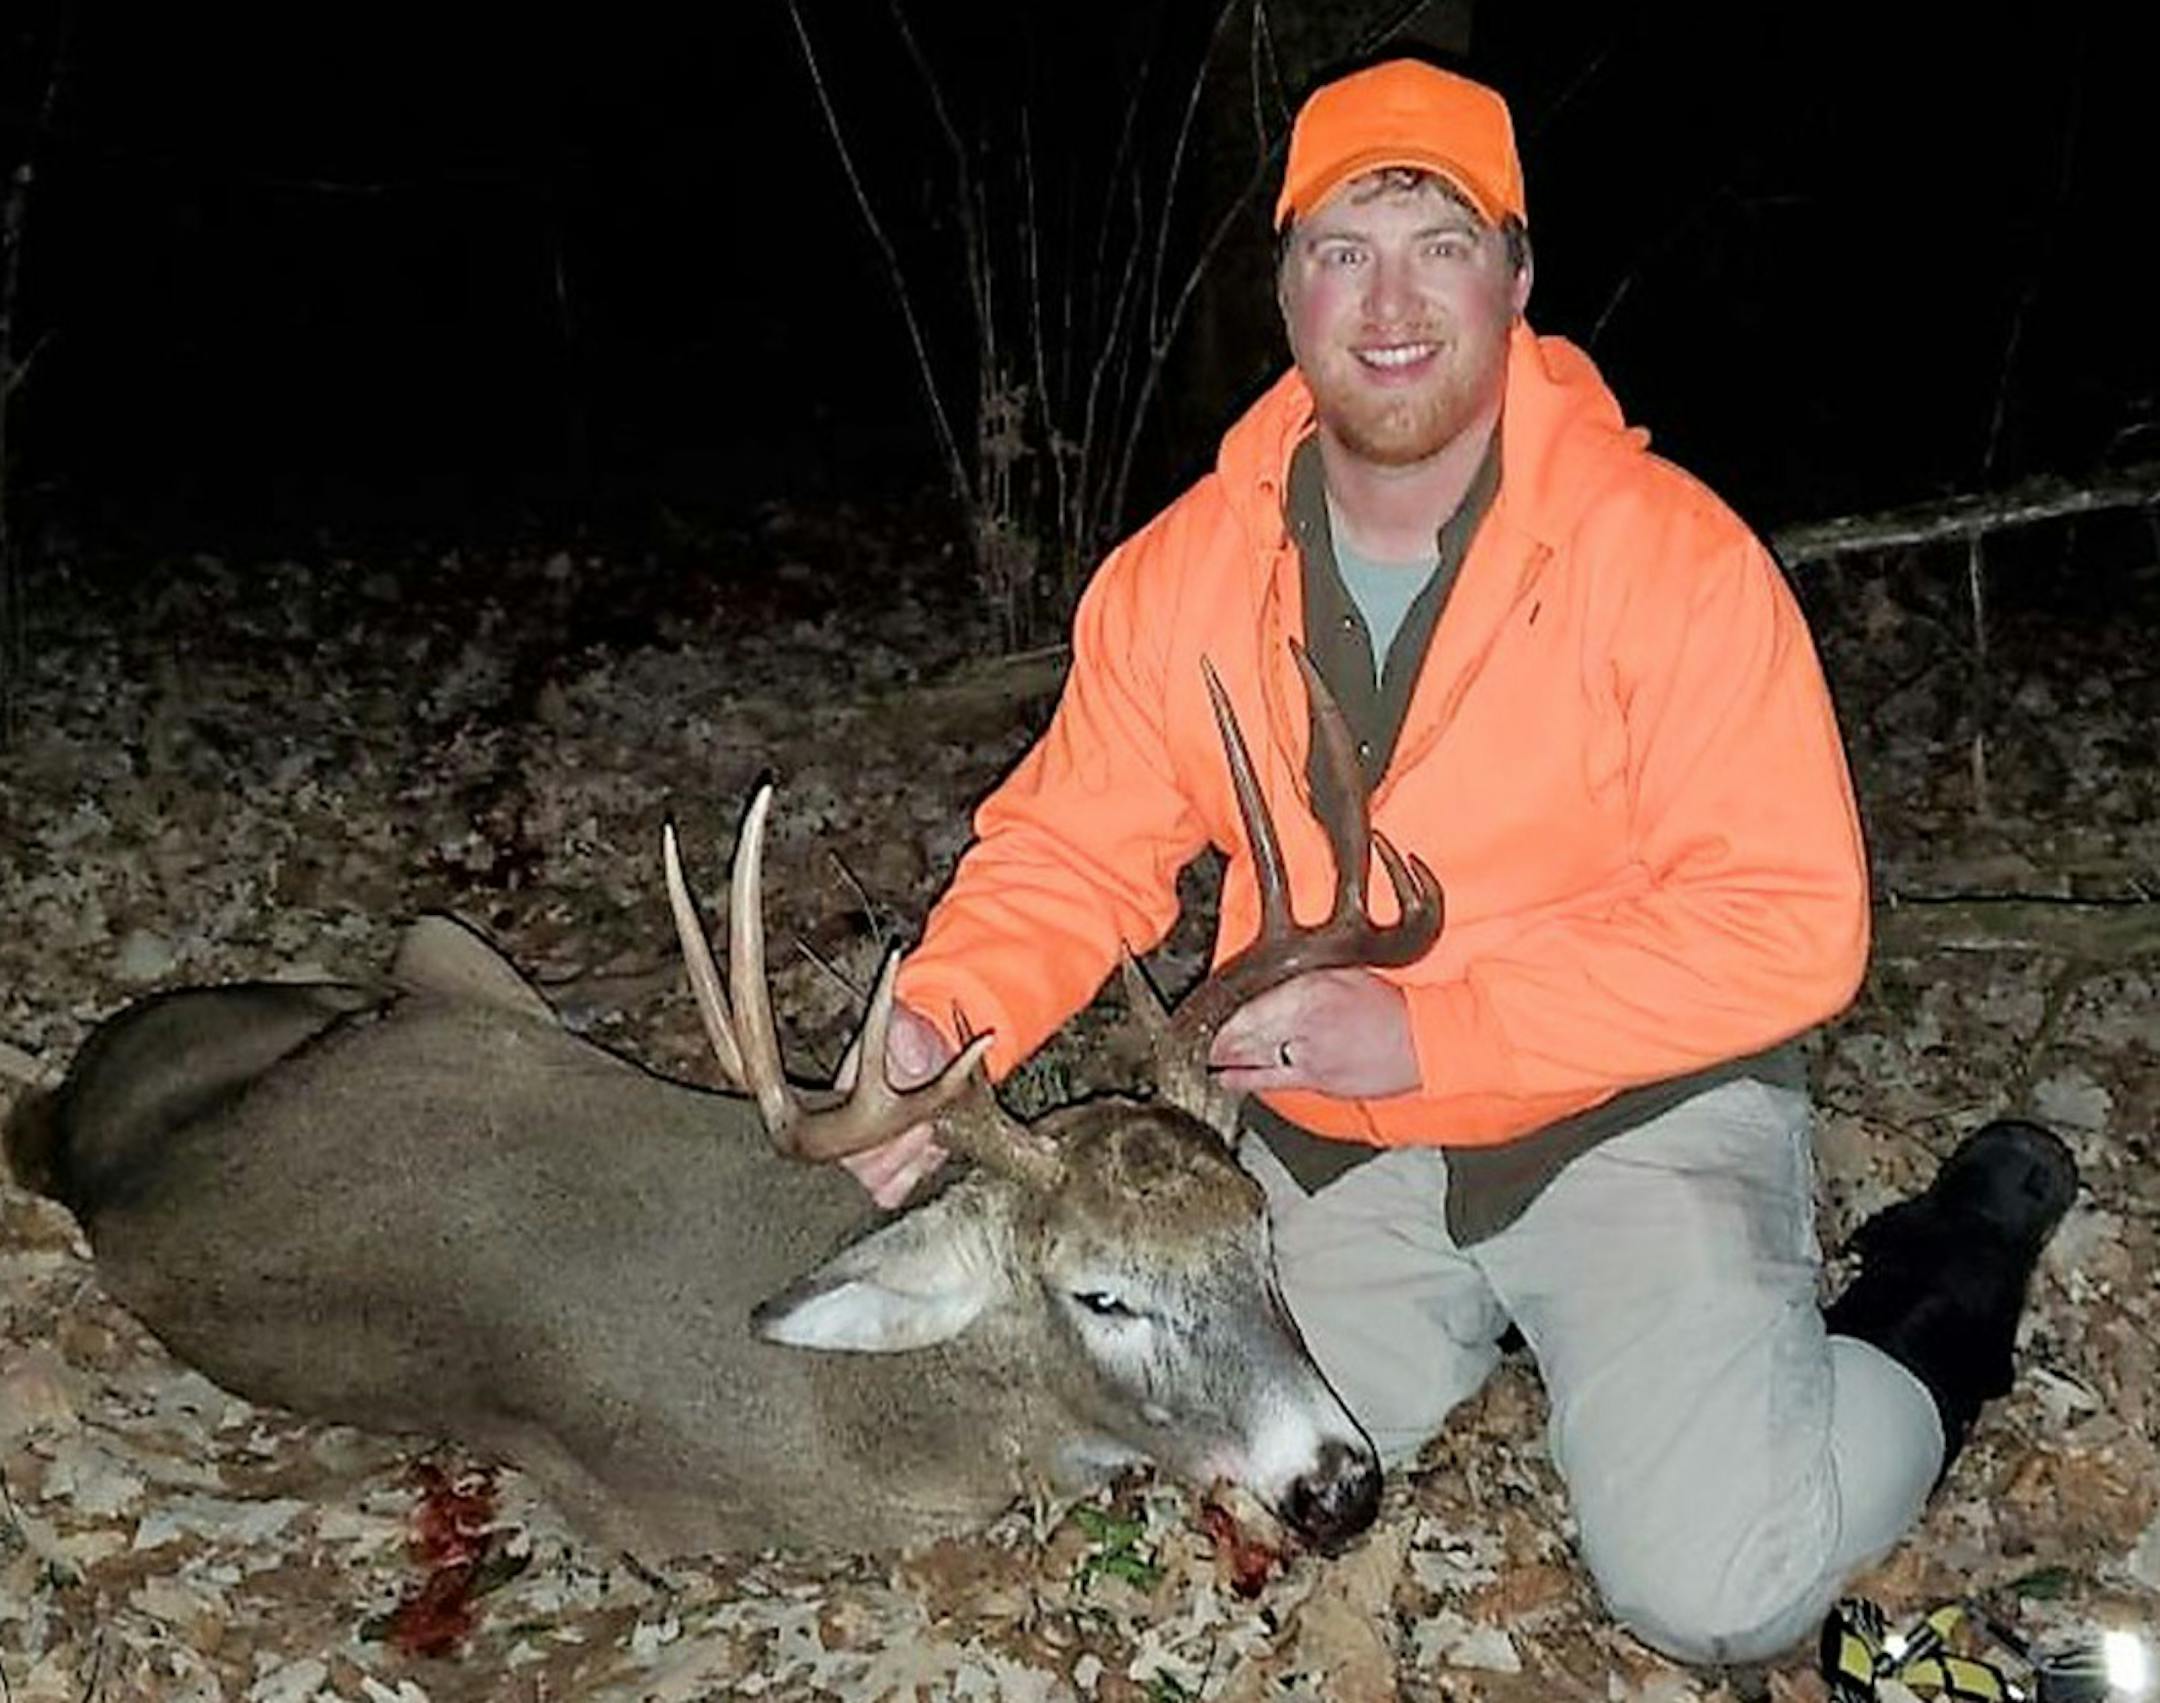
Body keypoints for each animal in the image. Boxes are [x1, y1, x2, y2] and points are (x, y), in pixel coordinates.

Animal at [4, 647, 1441, 1562]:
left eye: (1257, 1233)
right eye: (1101, 1292)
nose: (1338, 1485)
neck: (880, 1410)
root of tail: (84, 1107)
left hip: (448, 952)